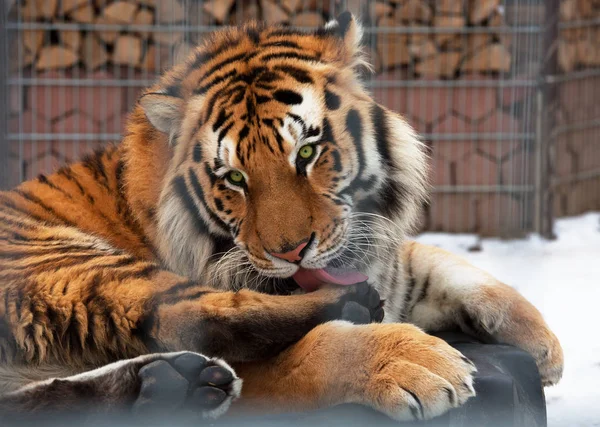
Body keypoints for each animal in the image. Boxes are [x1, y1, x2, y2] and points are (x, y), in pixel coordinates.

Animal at [0, 11, 564, 422]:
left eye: (308, 152)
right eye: (233, 178)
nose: (292, 251)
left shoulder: (388, 257)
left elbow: (441, 264)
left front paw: (544, 345)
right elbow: (303, 355)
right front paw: (412, 361)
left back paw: (170, 386)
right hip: (68, 258)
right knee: (201, 314)